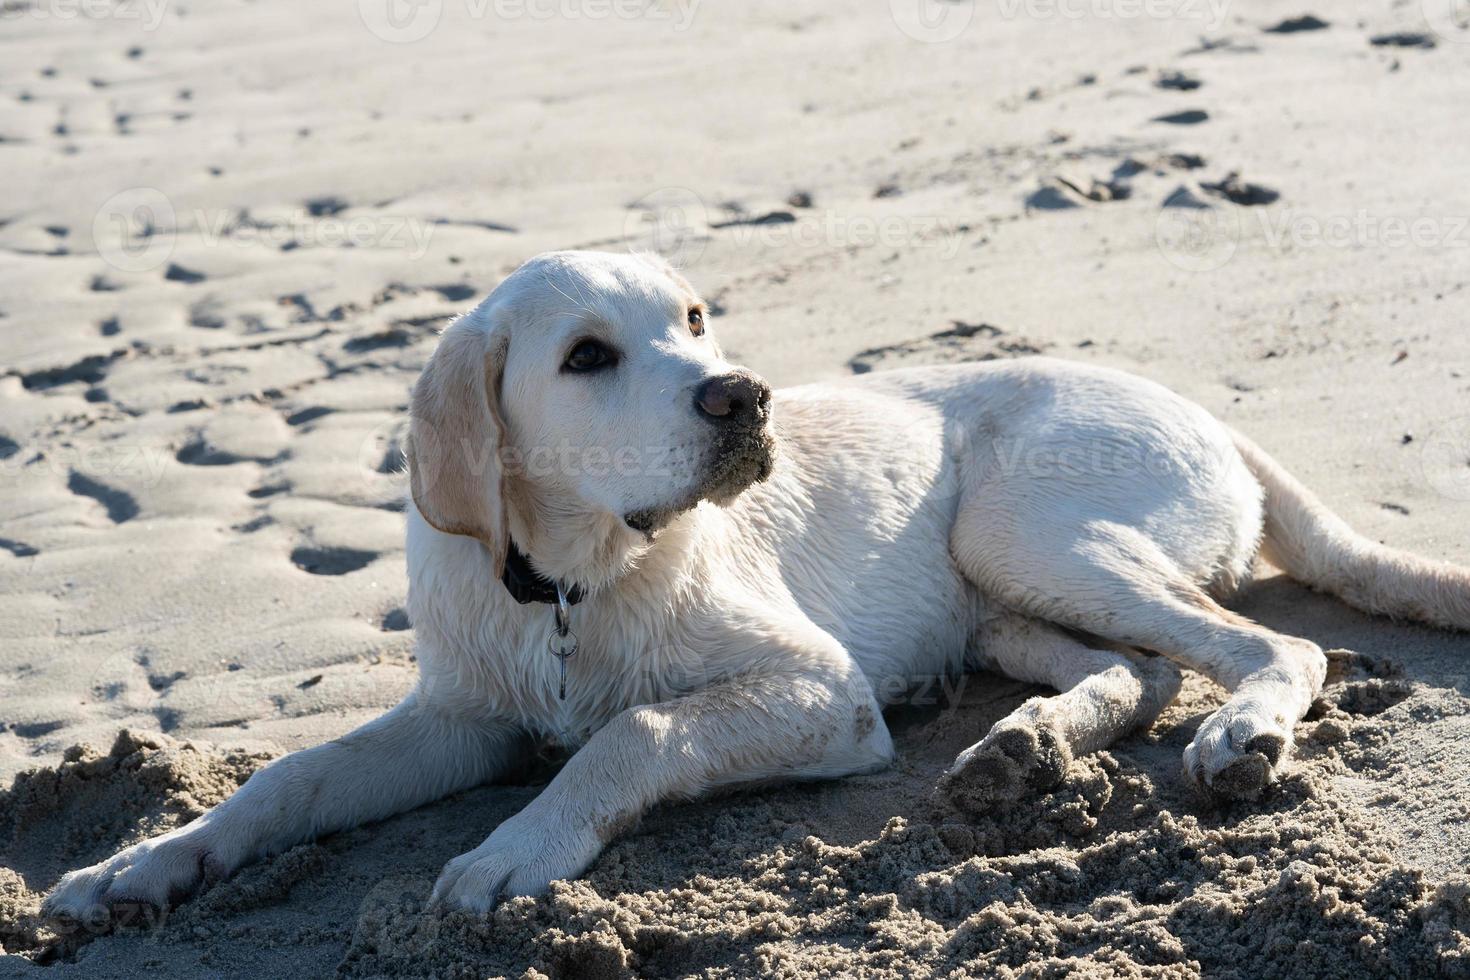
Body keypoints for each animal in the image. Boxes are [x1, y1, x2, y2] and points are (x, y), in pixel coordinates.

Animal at [45, 246, 1470, 922]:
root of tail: (1215, 416)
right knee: (1149, 665)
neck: (569, 586)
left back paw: (1241, 735)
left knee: (1271, 650)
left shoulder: (823, 690)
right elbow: (290, 781)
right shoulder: (461, 715)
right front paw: (144, 862)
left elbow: (633, 726)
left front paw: (514, 848)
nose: (745, 395)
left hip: (1021, 524)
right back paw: (1023, 749)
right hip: (1004, 593)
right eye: (585, 355)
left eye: (693, 317)